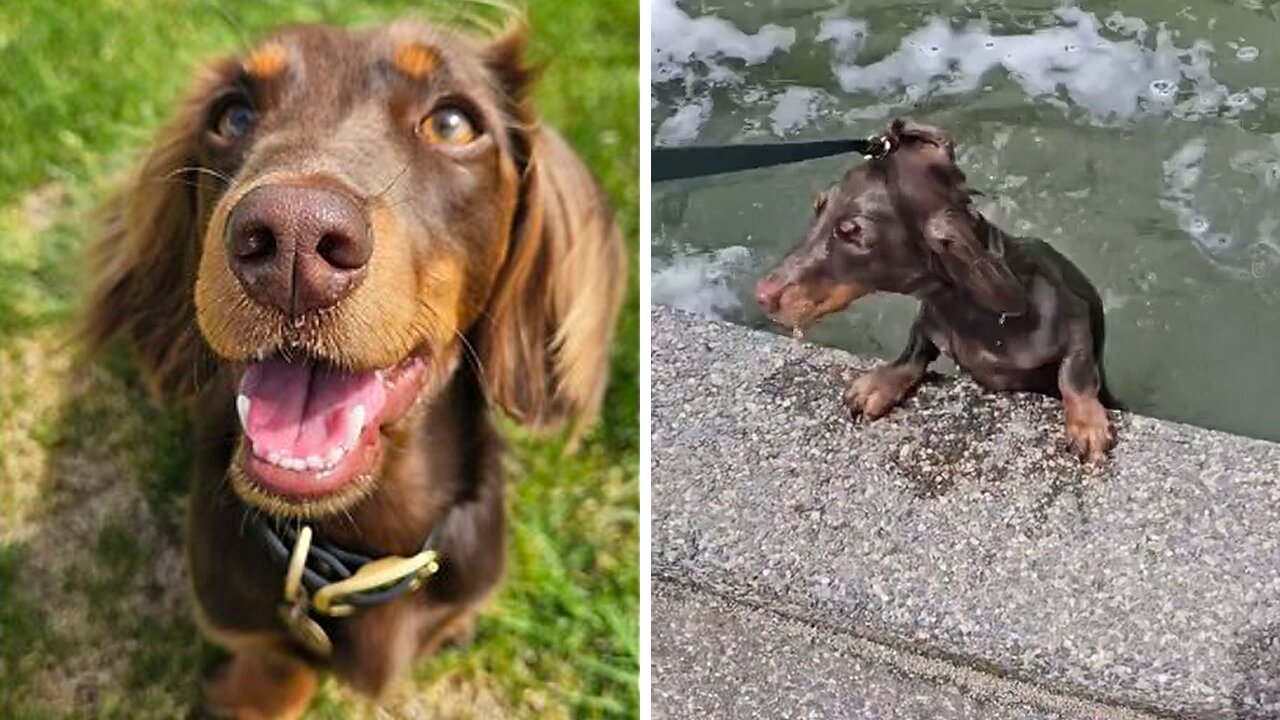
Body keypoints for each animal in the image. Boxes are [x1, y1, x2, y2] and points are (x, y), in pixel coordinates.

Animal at [757, 119, 1111, 458]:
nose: (761, 296)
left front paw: (1086, 424)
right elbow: (914, 352)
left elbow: (1075, 375)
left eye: (851, 232)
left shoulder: (1075, 321)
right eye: (819, 207)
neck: (977, 316)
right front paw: (879, 385)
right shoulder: (929, 319)